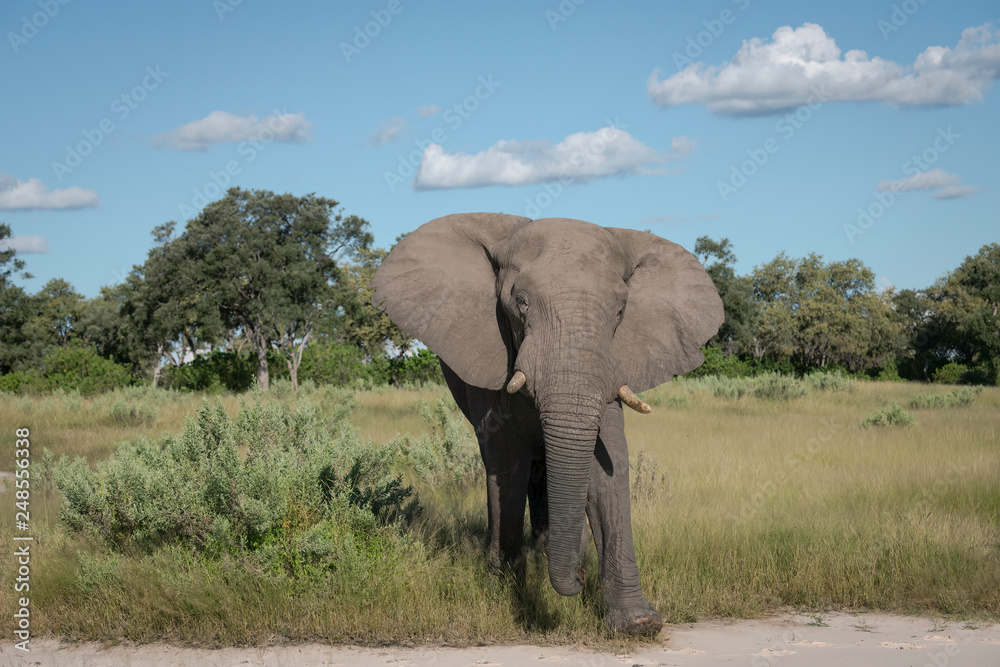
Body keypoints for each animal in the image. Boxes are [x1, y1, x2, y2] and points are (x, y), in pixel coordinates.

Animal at [370, 213, 723, 634]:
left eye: (621, 312)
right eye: (520, 303)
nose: (579, 580)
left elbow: (608, 469)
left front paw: (638, 623)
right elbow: (506, 467)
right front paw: (503, 595)